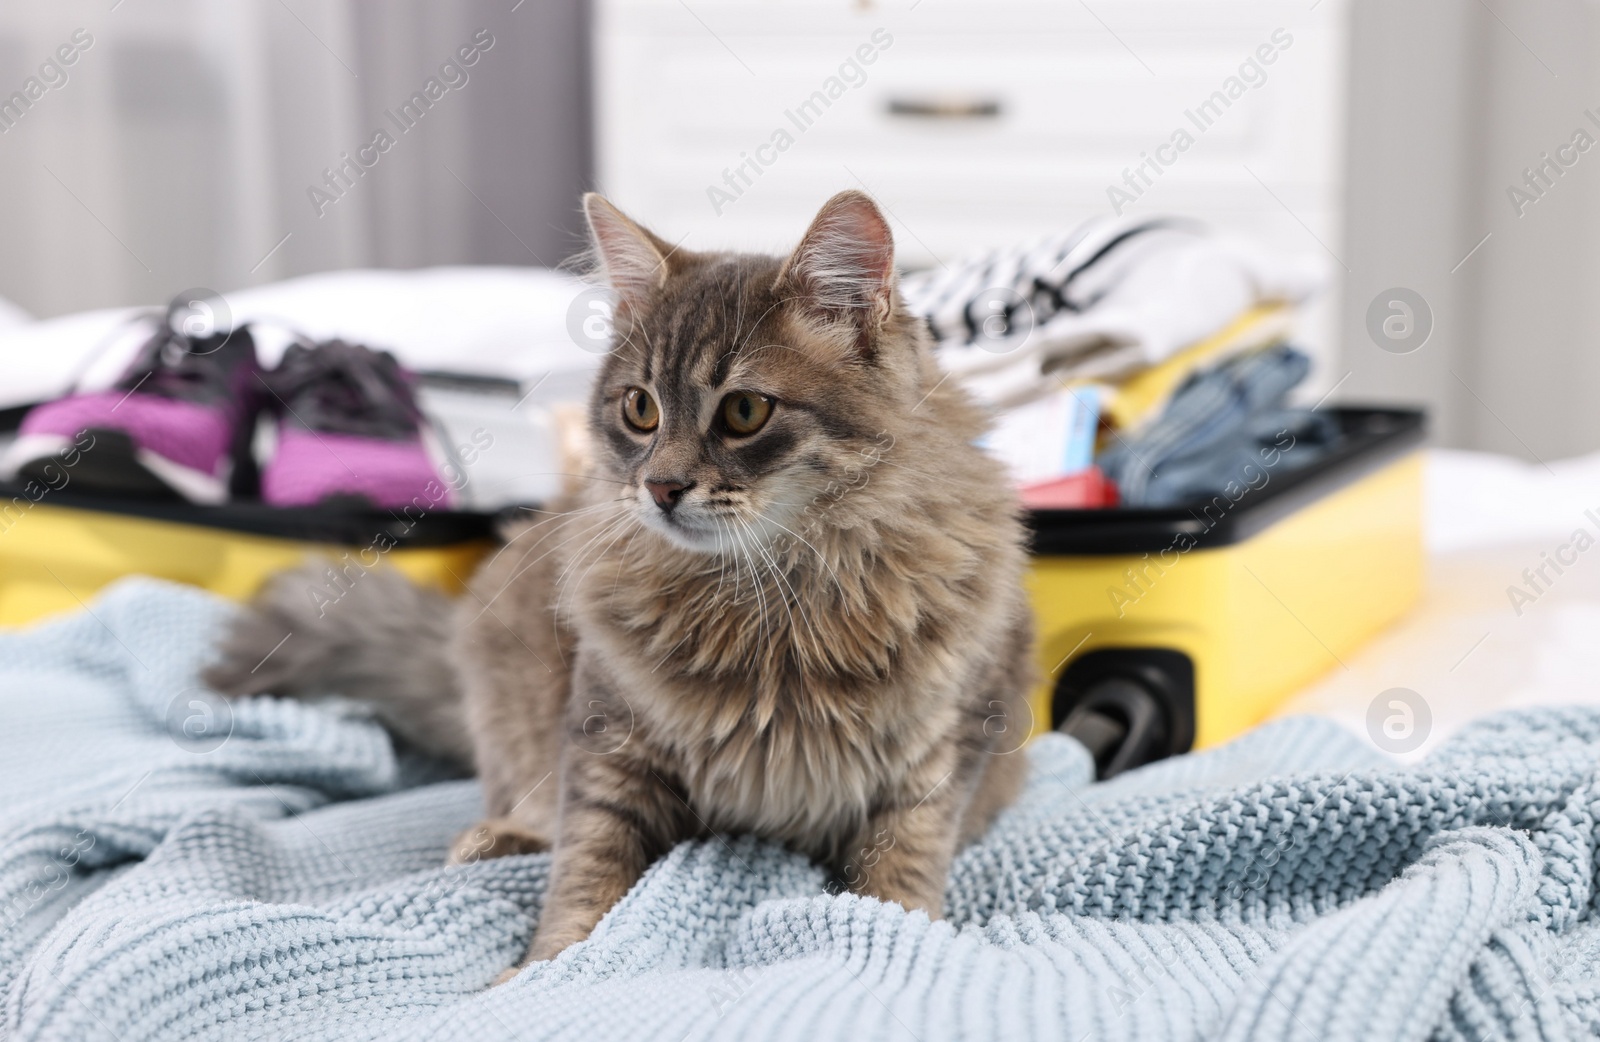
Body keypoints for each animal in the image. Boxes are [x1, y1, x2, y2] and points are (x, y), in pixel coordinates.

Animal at [206, 189, 1036, 979]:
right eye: (641, 409)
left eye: (745, 411)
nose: (662, 488)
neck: (768, 601)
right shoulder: (607, 745)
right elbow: (586, 876)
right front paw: (539, 972)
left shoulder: (935, 764)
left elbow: (899, 877)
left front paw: (898, 943)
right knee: (526, 805)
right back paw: (493, 840)